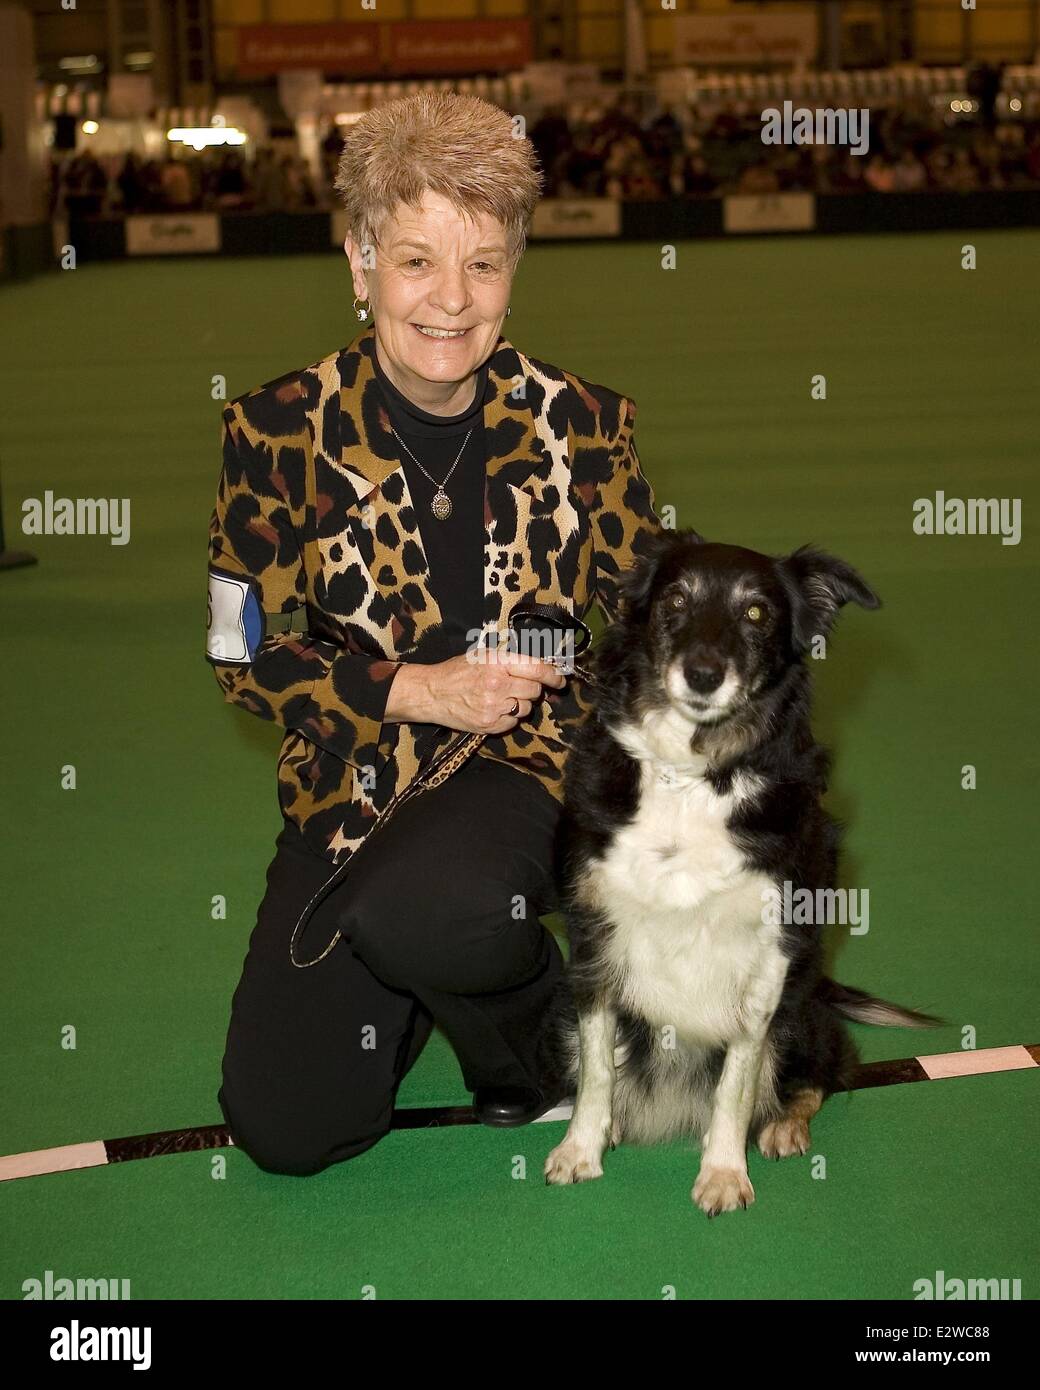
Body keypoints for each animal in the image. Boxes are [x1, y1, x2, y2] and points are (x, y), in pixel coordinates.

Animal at [539, 530, 939, 1217]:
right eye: (675, 600)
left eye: (757, 613)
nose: (703, 675)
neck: (693, 776)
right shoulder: (593, 944)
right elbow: (595, 1069)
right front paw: (581, 1149)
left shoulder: (770, 957)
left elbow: (738, 1079)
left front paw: (724, 1172)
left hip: (802, 1014)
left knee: (823, 1073)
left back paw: (782, 1126)